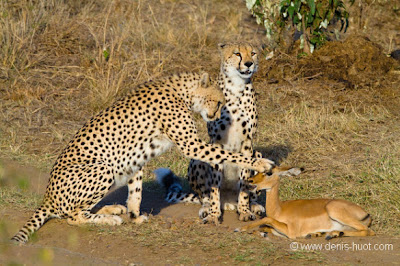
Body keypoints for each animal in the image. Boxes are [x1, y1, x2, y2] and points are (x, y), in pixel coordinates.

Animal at [10, 71, 274, 244]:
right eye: (218, 101)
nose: (216, 116)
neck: (182, 92)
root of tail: (47, 195)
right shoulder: (191, 145)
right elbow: (228, 153)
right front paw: (260, 163)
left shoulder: (135, 158)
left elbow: (135, 191)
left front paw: (134, 216)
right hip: (103, 168)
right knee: (72, 217)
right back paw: (107, 219)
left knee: (79, 210)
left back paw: (112, 209)